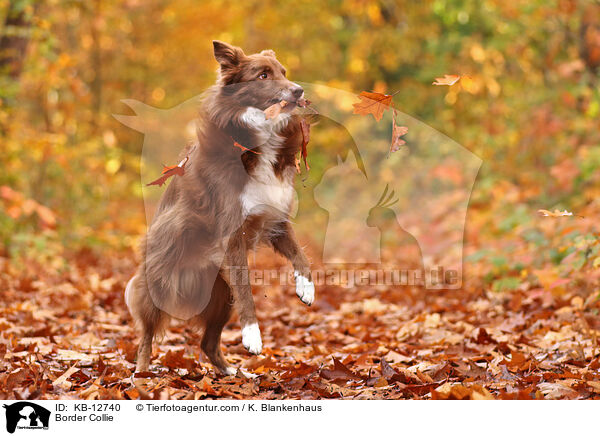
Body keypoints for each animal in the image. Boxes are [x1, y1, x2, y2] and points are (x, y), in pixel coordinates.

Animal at [125, 40, 316, 374]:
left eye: (283, 72)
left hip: (221, 297)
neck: (259, 141)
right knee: (146, 335)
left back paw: (232, 372)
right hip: (161, 283)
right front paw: (253, 336)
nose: (298, 90)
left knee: (208, 343)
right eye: (263, 75)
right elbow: (248, 291)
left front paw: (306, 287)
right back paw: (143, 372)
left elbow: (300, 254)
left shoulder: (274, 219)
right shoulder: (232, 233)